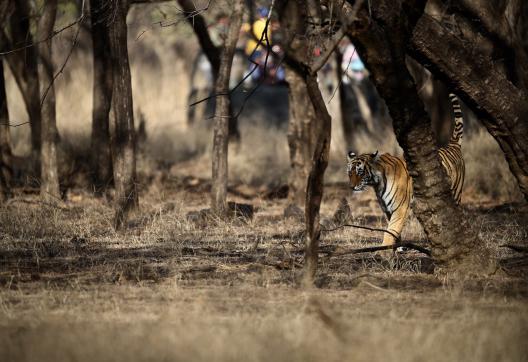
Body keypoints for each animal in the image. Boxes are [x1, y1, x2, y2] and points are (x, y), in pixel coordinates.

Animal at [346, 93, 466, 246]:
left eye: (360, 172)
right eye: (350, 173)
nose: (352, 187)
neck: (377, 184)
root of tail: (452, 146)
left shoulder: (400, 208)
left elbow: (391, 230)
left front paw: (384, 249)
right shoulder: (387, 209)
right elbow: (392, 231)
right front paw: (397, 247)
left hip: (455, 194)